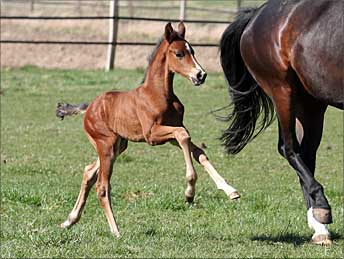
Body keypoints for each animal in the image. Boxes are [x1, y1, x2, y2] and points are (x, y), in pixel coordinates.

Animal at [56, 22, 239, 238]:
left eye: (193, 51)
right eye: (179, 53)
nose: (200, 75)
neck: (160, 94)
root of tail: (89, 107)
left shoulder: (172, 131)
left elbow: (197, 150)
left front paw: (230, 190)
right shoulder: (152, 135)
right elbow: (183, 136)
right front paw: (189, 192)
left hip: (118, 146)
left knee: (88, 172)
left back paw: (69, 221)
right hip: (106, 146)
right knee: (102, 187)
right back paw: (115, 231)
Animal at [219, 0, 342, 246]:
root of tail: (257, 14)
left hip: (311, 101)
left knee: (306, 154)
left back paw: (319, 227)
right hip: (282, 90)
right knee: (289, 148)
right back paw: (322, 210)